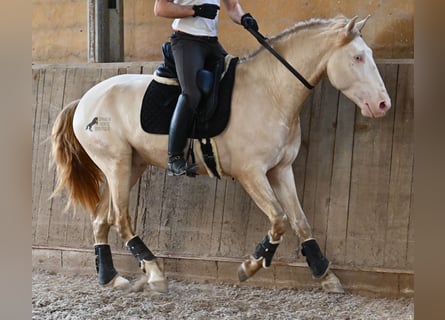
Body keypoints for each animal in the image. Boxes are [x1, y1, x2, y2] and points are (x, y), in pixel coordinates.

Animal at [50, 16, 388, 294]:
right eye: (358, 57)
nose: (383, 104)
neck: (271, 91)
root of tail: (85, 100)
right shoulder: (251, 173)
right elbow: (279, 219)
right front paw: (250, 266)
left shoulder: (281, 170)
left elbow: (300, 221)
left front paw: (325, 274)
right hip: (116, 164)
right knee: (121, 219)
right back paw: (155, 273)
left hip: (132, 166)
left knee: (101, 219)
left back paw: (110, 277)